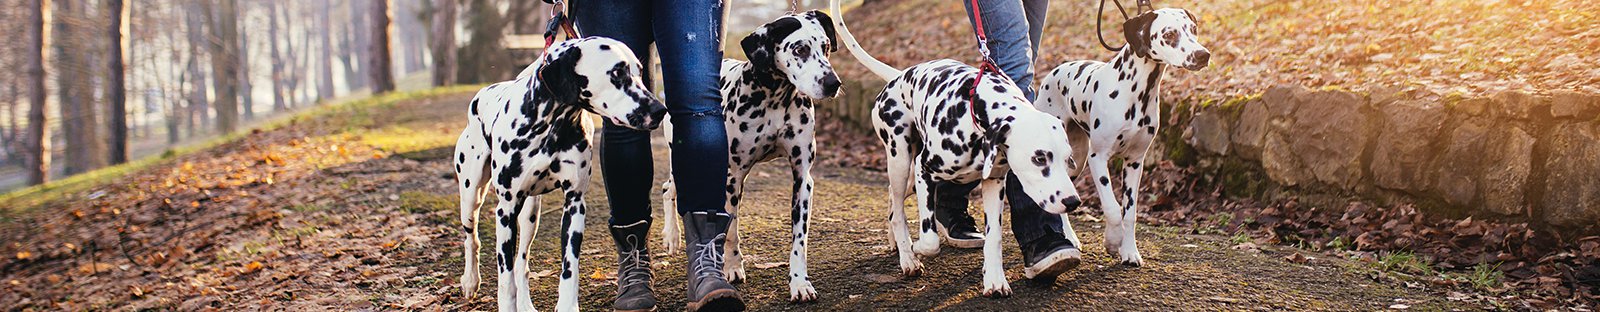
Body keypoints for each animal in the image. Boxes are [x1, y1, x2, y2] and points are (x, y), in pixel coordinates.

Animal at [454, 37, 665, 312]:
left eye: (639, 72)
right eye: (617, 72)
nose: (660, 109)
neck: (551, 126)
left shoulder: (574, 204)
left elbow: (569, 267)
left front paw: (567, 305)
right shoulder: (506, 211)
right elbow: (505, 278)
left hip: (530, 216)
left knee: (522, 261)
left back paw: (526, 303)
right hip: (471, 196)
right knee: (472, 238)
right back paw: (470, 280)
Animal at [656, 10, 844, 304]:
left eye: (825, 46)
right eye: (800, 49)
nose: (832, 83)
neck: (774, 97)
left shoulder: (802, 179)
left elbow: (799, 240)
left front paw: (800, 283)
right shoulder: (732, 179)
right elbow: (731, 231)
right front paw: (732, 267)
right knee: (668, 188)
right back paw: (672, 236)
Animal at [832, 0, 1081, 297]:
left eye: (1067, 160)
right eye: (1039, 158)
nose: (1073, 202)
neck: (975, 112)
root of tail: (898, 76)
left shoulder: (994, 182)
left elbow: (994, 237)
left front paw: (995, 279)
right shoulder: (924, 170)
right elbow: (929, 239)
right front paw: (917, 248)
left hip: (908, 178)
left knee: (893, 203)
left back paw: (897, 244)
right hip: (901, 162)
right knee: (898, 211)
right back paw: (907, 257)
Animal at [1030, 7, 1203, 265]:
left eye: (1193, 30)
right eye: (1169, 34)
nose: (1203, 55)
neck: (1137, 92)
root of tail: (1054, 72)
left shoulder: (1135, 162)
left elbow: (1129, 212)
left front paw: (1129, 251)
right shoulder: (1099, 158)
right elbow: (1112, 209)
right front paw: (1112, 241)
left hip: (1077, 160)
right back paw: (1068, 238)